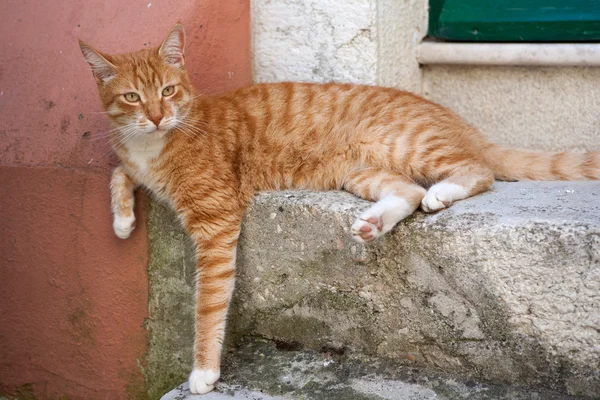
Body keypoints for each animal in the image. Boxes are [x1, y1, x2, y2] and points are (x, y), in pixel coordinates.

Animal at [78, 22, 596, 394]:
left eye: (168, 91)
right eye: (132, 96)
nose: (157, 116)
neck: (156, 143)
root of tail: (458, 121)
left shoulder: (216, 223)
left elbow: (208, 304)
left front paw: (203, 372)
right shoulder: (134, 160)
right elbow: (119, 171)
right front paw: (122, 218)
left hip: (411, 146)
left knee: (477, 170)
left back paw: (443, 192)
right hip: (361, 171)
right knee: (407, 191)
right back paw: (373, 224)